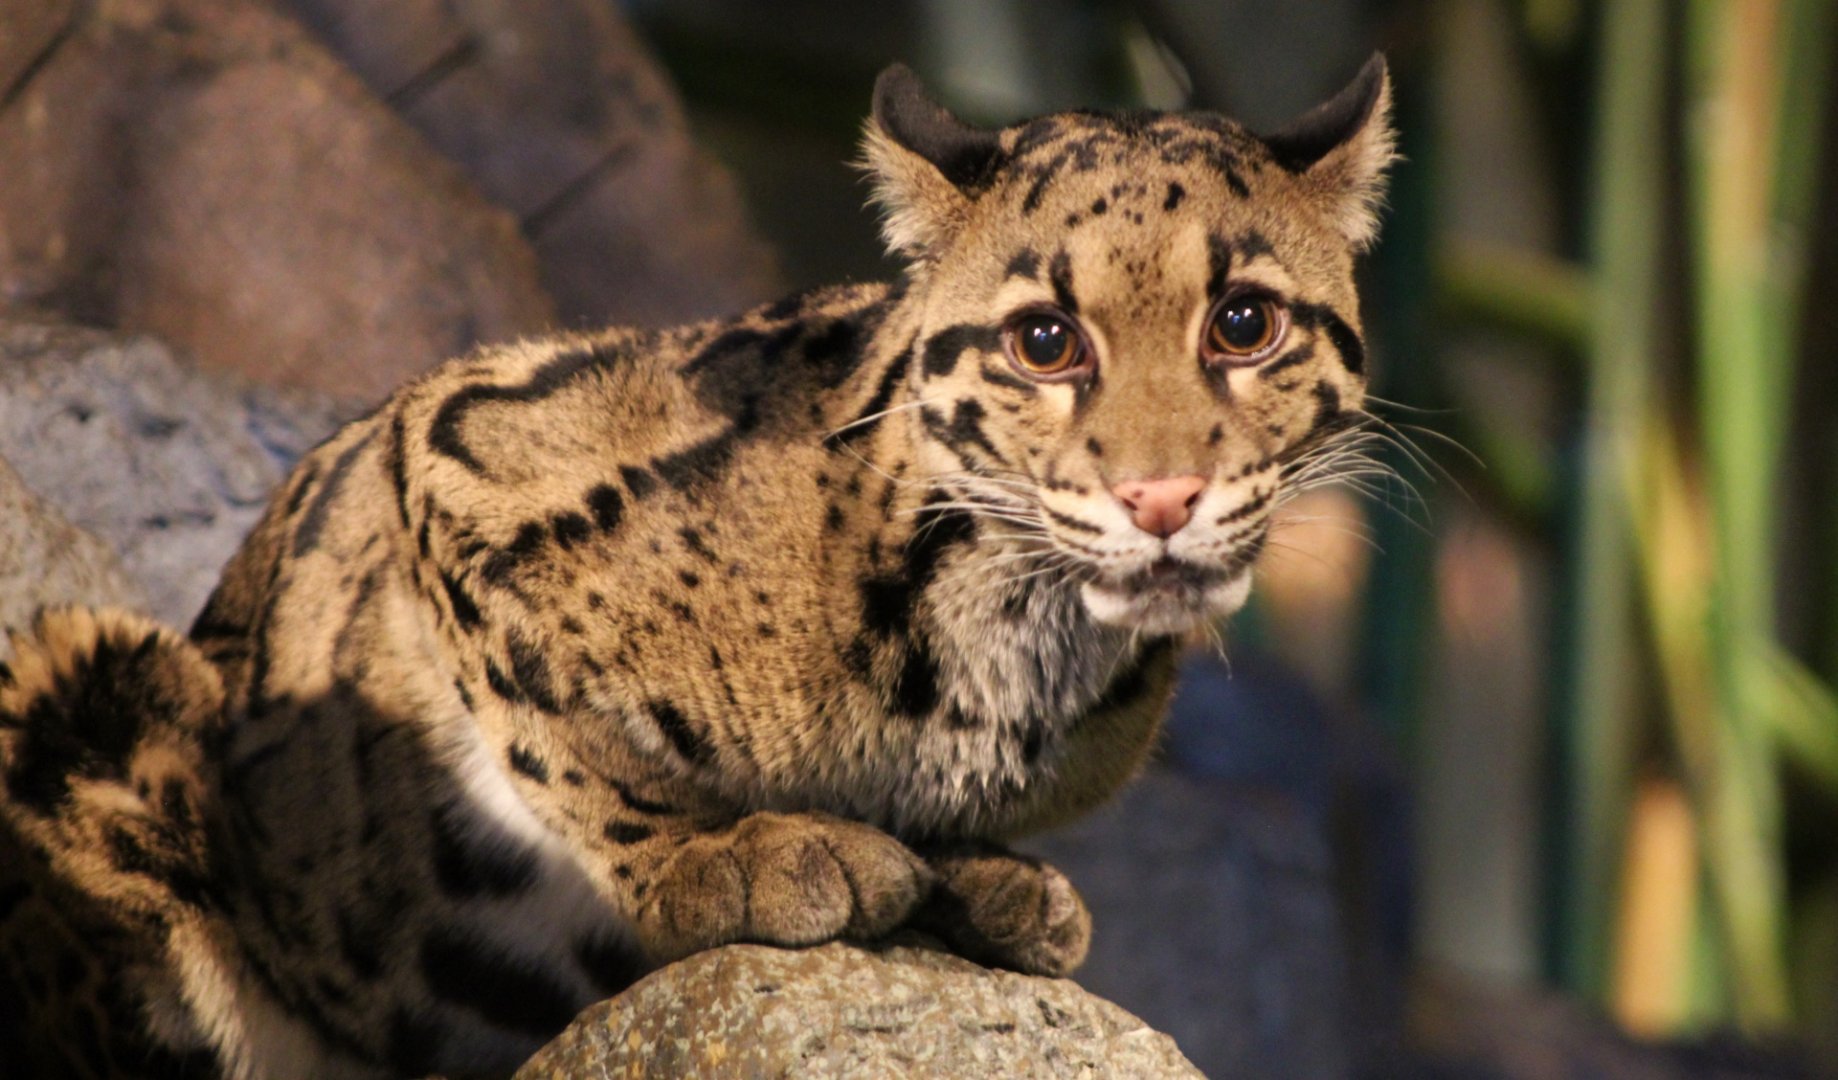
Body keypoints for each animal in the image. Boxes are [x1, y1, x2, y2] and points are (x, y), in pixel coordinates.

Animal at [0, 56, 1395, 1079]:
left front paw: (978, 874)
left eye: (1243, 324)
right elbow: (567, 748)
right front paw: (713, 857)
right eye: (1044, 341)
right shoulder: (448, 448)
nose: (1159, 495)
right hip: (93, 691)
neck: (1020, 635)